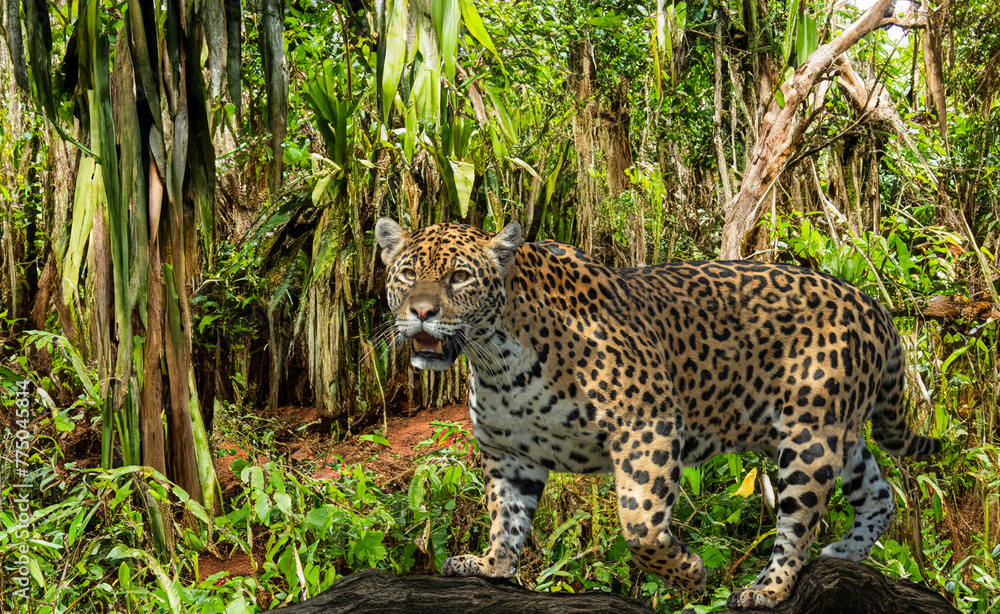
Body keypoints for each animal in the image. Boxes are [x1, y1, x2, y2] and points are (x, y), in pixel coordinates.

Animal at [375, 217, 941, 609]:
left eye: (459, 277)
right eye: (408, 275)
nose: (420, 312)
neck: (497, 359)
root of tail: (873, 304)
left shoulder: (648, 425)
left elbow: (640, 524)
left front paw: (689, 574)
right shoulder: (508, 452)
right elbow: (505, 514)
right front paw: (491, 565)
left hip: (810, 436)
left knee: (797, 523)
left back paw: (768, 588)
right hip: (838, 430)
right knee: (881, 494)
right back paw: (844, 555)